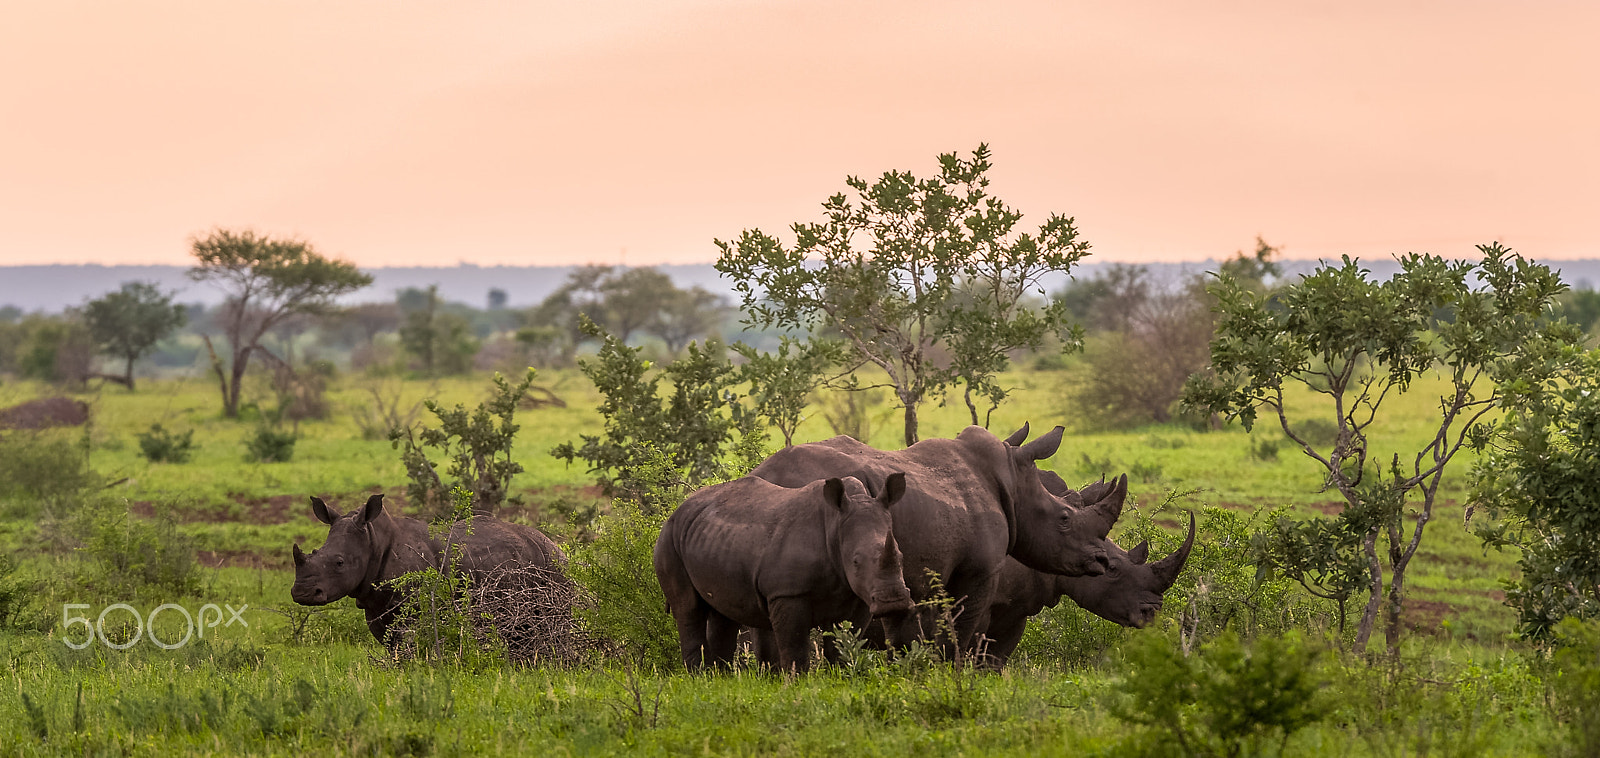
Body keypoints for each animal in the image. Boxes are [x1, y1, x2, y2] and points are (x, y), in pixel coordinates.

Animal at [290, 493, 565, 645]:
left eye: (339, 563)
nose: (302, 593)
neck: (374, 541)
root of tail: (556, 545)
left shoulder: (412, 605)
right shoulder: (374, 605)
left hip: (553, 565)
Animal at [654, 474, 913, 672]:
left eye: (901, 557)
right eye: (856, 561)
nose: (894, 601)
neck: (835, 526)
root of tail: (678, 508)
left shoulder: (858, 596)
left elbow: (846, 642)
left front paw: (844, 675)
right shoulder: (787, 592)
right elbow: (794, 644)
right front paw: (797, 681)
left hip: (712, 539)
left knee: (723, 613)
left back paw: (720, 678)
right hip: (669, 539)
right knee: (688, 609)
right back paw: (699, 677)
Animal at [747, 425, 1121, 655]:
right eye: (1065, 519)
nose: (1101, 561)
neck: (1013, 484)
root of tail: (760, 474)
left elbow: (905, 630)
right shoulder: (979, 570)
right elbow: (960, 628)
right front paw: (947, 672)